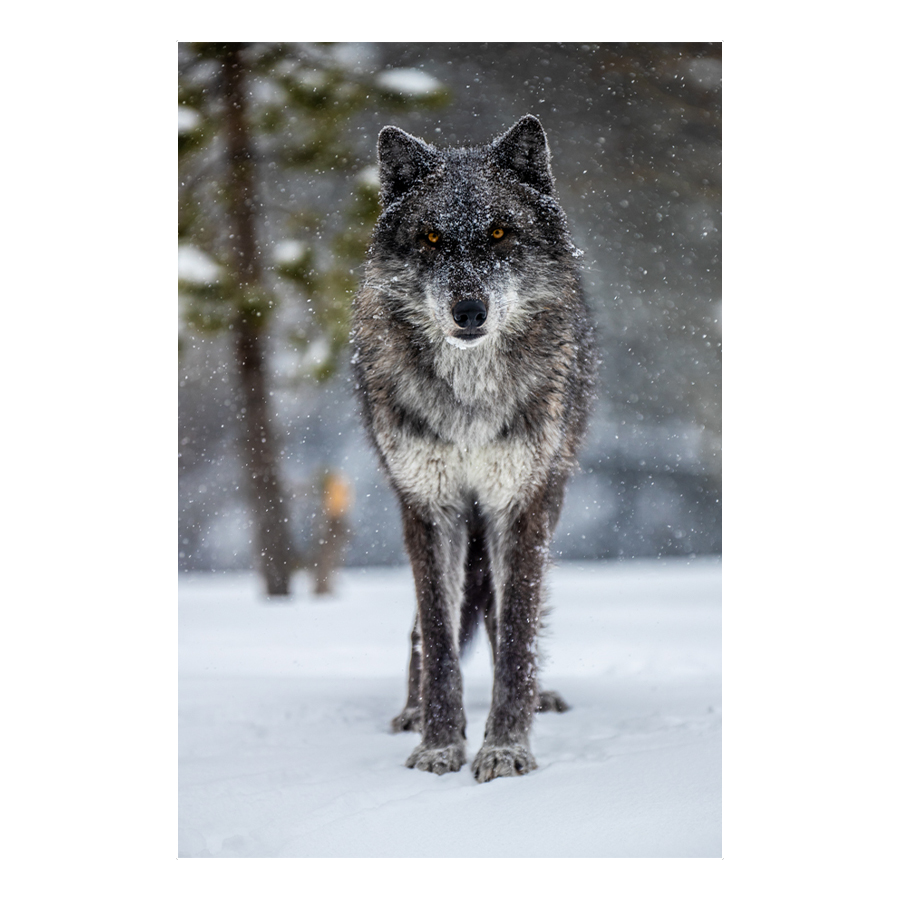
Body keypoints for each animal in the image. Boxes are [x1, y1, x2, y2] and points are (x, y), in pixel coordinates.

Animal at [351, 115, 595, 782]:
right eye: (432, 237)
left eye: (499, 232)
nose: (468, 311)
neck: (470, 400)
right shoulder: (429, 507)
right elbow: (437, 635)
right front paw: (439, 744)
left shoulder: (521, 505)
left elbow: (516, 632)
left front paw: (506, 747)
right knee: (429, 629)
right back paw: (411, 711)